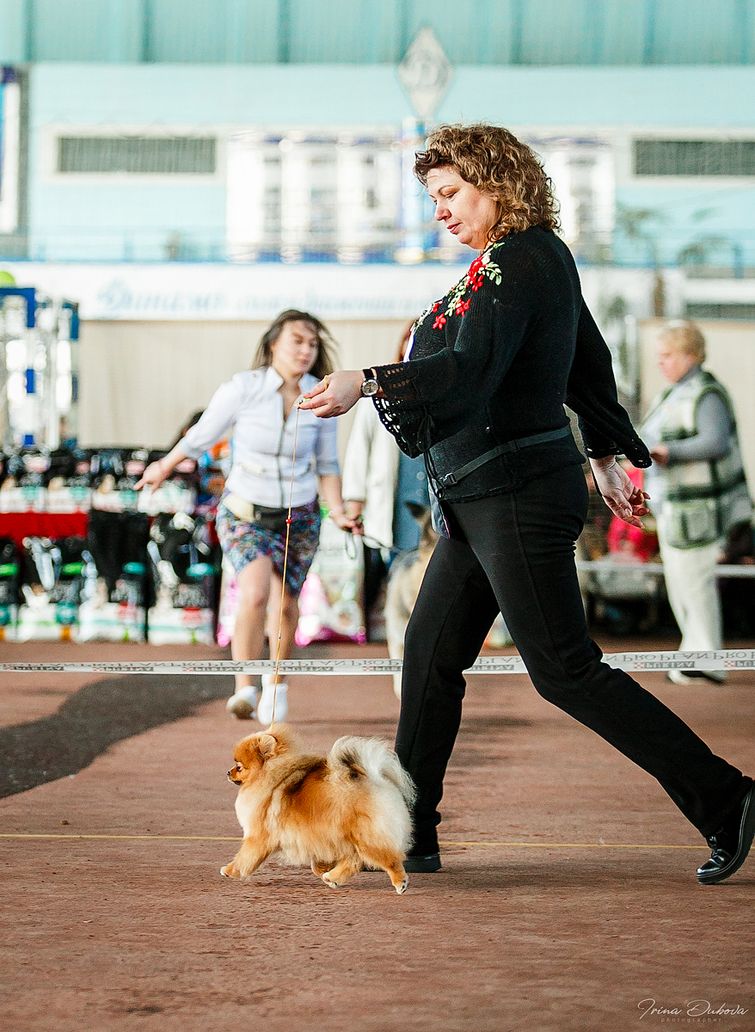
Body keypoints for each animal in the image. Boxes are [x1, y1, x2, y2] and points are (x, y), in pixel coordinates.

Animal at [221, 723, 416, 893]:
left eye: (239, 767)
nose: (228, 772)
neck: (270, 777)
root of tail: (376, 779)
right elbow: (316, 862)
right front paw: (323, 867)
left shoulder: (259, 836)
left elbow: (245, 857)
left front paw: (230, 871)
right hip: (352, 836)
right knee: (354, 860)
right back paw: (332, 877)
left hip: (367, 835)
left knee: (388, 859)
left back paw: (400, 882)